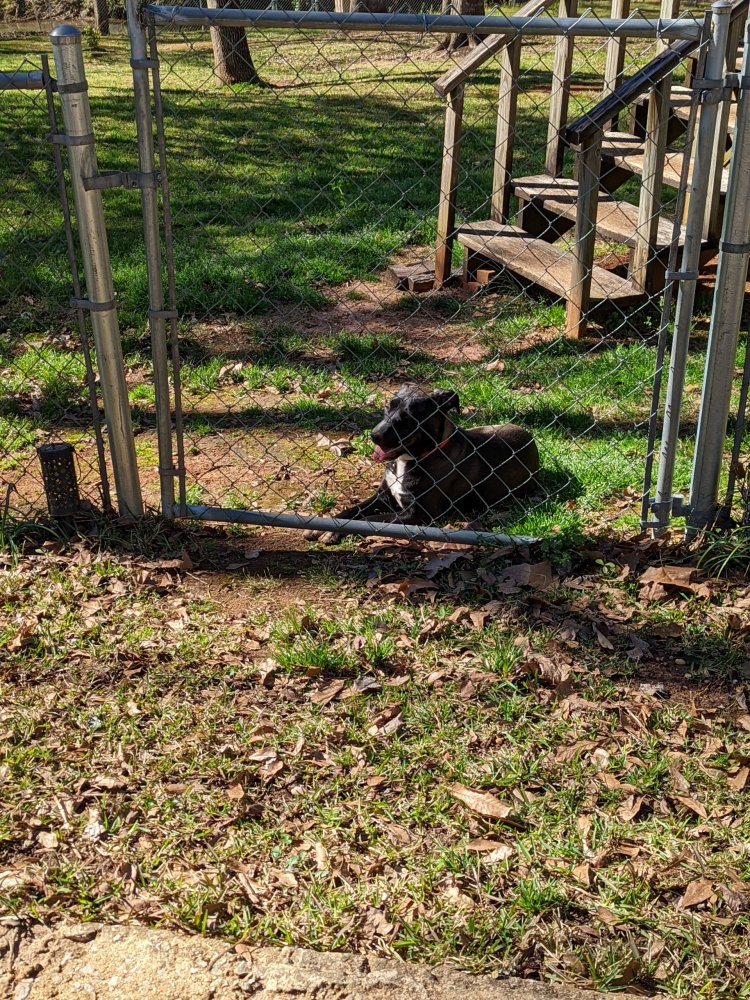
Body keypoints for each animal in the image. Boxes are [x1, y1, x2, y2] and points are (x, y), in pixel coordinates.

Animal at [304, 385, 539, 543]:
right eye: (388, 406)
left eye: (409, 417)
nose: (374, 435)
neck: (411, 460)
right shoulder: (383, 496)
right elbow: (352, 511)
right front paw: (323, 525)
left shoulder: (418, 514)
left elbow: (370, 519)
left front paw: (334, 531)